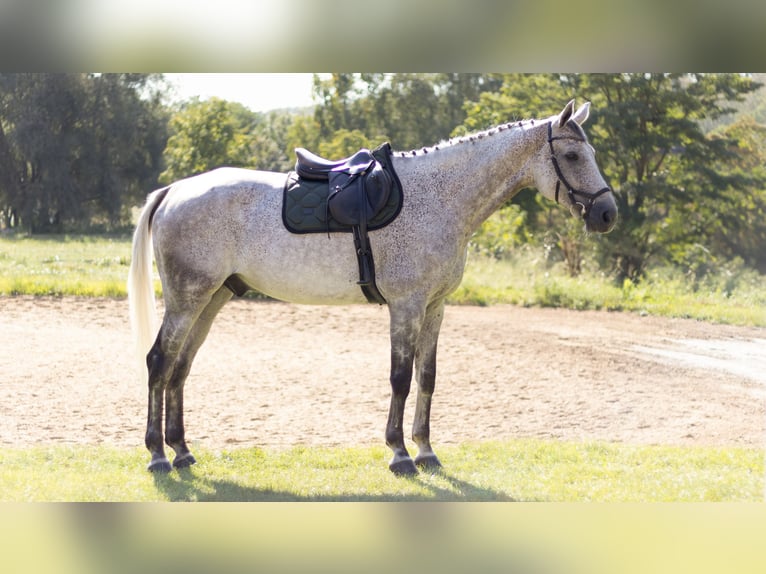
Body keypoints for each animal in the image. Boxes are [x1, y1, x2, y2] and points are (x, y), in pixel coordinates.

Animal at [126, 99, 616, 476]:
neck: (439, 198)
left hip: (212, 299)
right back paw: (157, 456)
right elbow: (400, 378)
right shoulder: (406, 305)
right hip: (187, 300)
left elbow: (427, 377)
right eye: (573, 157)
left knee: (180, 367)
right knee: (158, 362)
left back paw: (182, 451)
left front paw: (426, 451)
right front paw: (400, 454)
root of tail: (174, 191)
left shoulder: (435, 307)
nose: (608, 214)